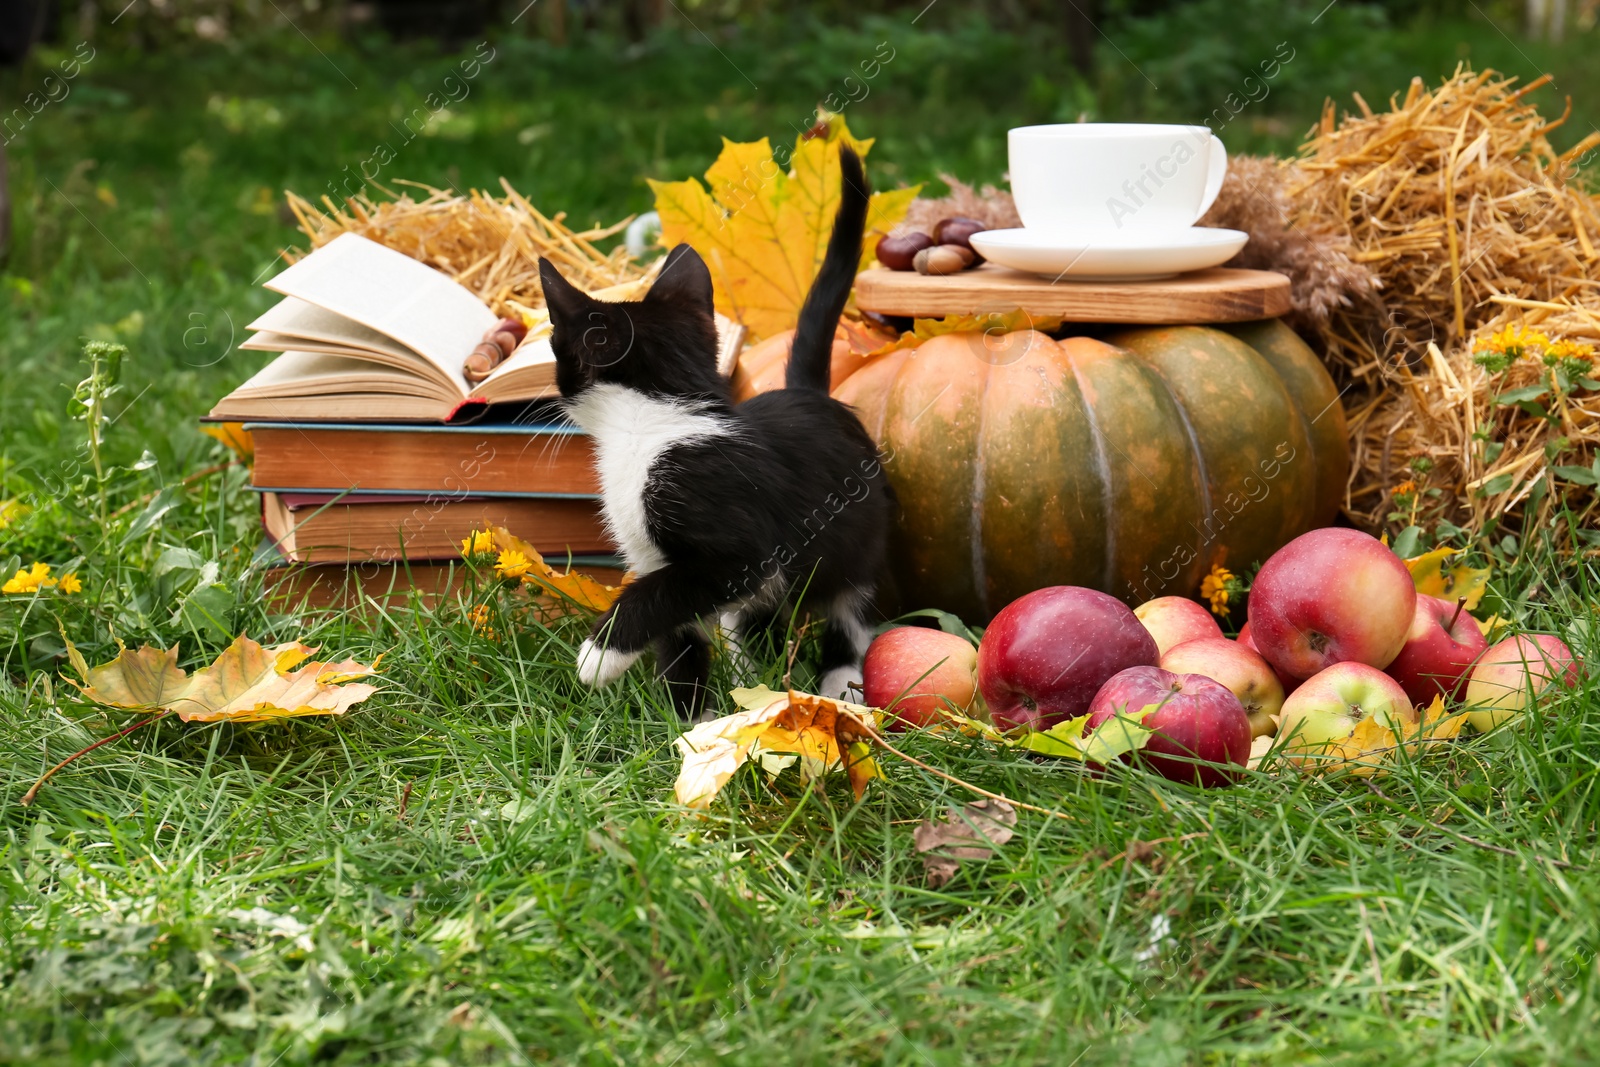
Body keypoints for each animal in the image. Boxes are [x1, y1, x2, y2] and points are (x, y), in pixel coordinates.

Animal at [534, 146, 889, 716]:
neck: (656, 423)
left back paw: (839, 683)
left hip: (861, 532)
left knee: (850, 609)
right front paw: (692, 721)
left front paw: (599, 654)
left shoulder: (735, 550)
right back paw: (752, 679)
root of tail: (810, 393)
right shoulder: (656, 557)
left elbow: (658, 592)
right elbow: (680, 640)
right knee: (756, 619)